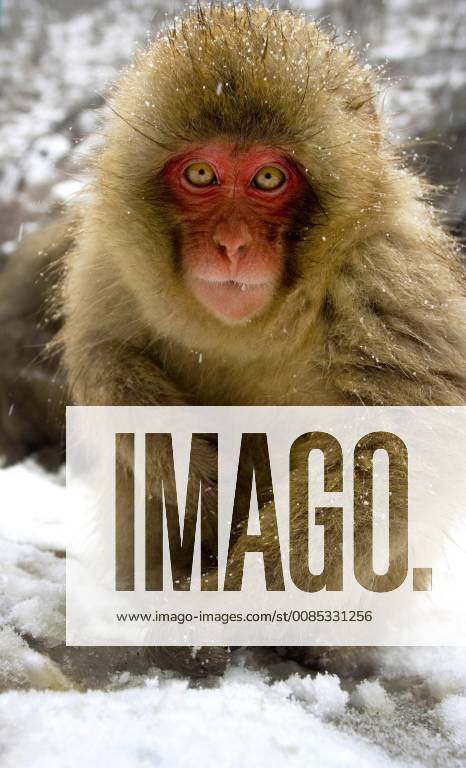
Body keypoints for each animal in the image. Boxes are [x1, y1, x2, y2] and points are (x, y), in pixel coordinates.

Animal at [1, 5, 465, 677]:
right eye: (201, 173)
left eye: (269, 177)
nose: (232, 245)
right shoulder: (110, 253)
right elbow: (102, 352)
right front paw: (189, 468)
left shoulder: (389, 273)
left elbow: (397, 449)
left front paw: (216, 605)